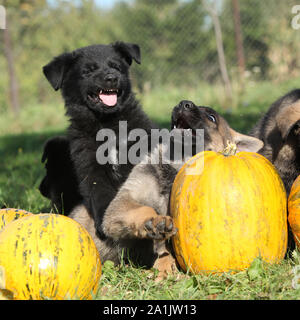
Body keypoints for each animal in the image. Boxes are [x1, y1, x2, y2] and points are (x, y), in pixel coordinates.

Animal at [40, 41, 156, 238]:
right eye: (87, 71)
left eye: (116, 67)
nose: (111, 78)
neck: (107, 124)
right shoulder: (91, 168)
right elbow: (100, 196)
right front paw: (105, 226)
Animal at [69, 100, 262, 278]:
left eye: (211, 117)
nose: (183, 103)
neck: (176, 164)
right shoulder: (121, 204)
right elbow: (145, 210)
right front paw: (155, 223)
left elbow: (165, 247)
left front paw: (165, 265)